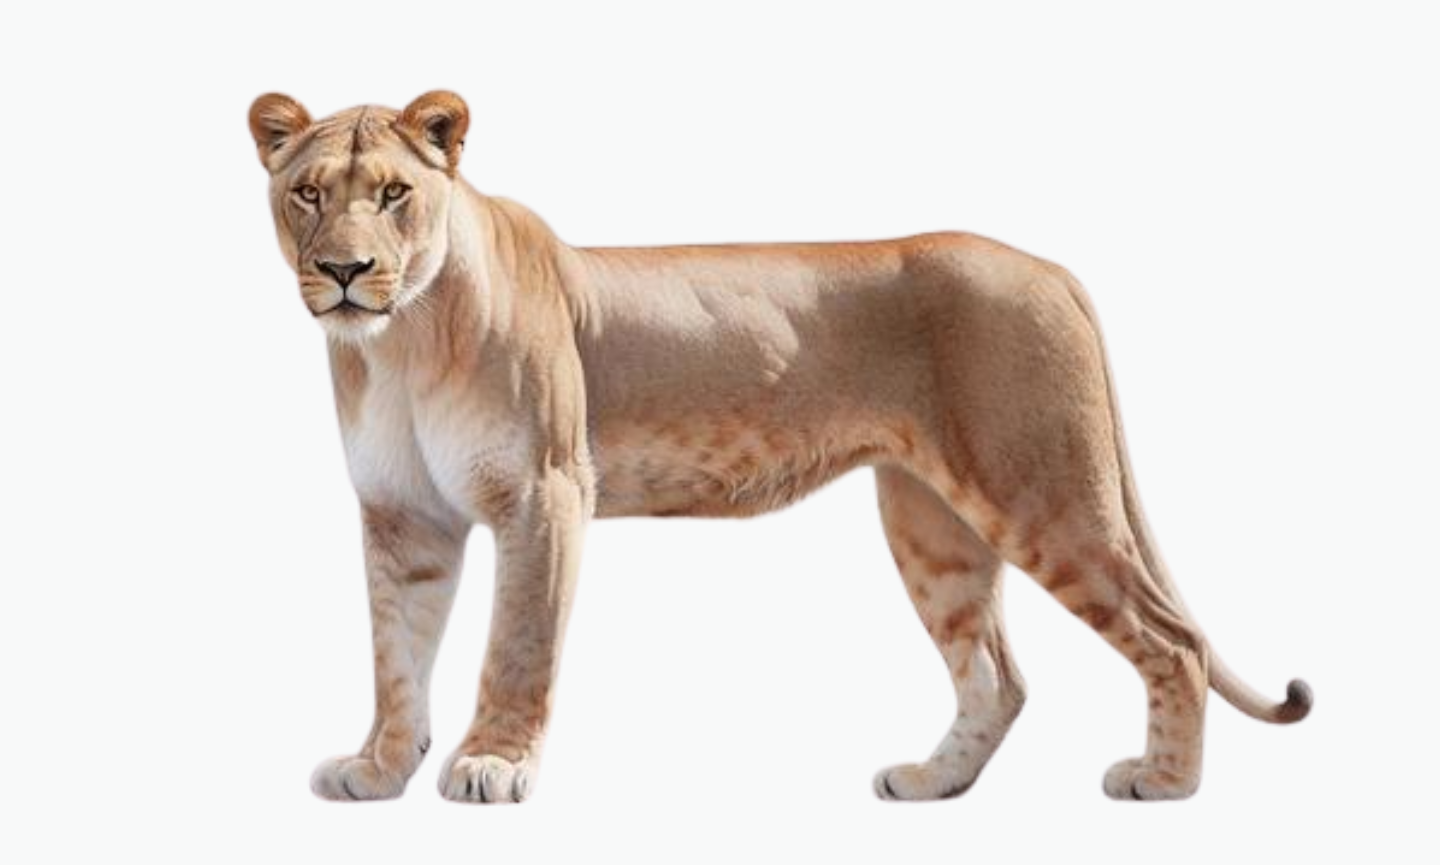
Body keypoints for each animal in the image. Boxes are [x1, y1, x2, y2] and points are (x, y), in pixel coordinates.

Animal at [249, 90, 1311, 805]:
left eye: (394, 192)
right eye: (306, 195)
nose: (345, 270)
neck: (399, 342)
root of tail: (1051, 267)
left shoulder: (544, 493)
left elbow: (516, 644)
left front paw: (492, 766)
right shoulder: (404, 516)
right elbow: (395, 652)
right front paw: (380, 767)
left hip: (1045, 491)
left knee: (1172, 641)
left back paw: (1163, 783)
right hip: (933, 522)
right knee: (998, 674)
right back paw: (932, 782)